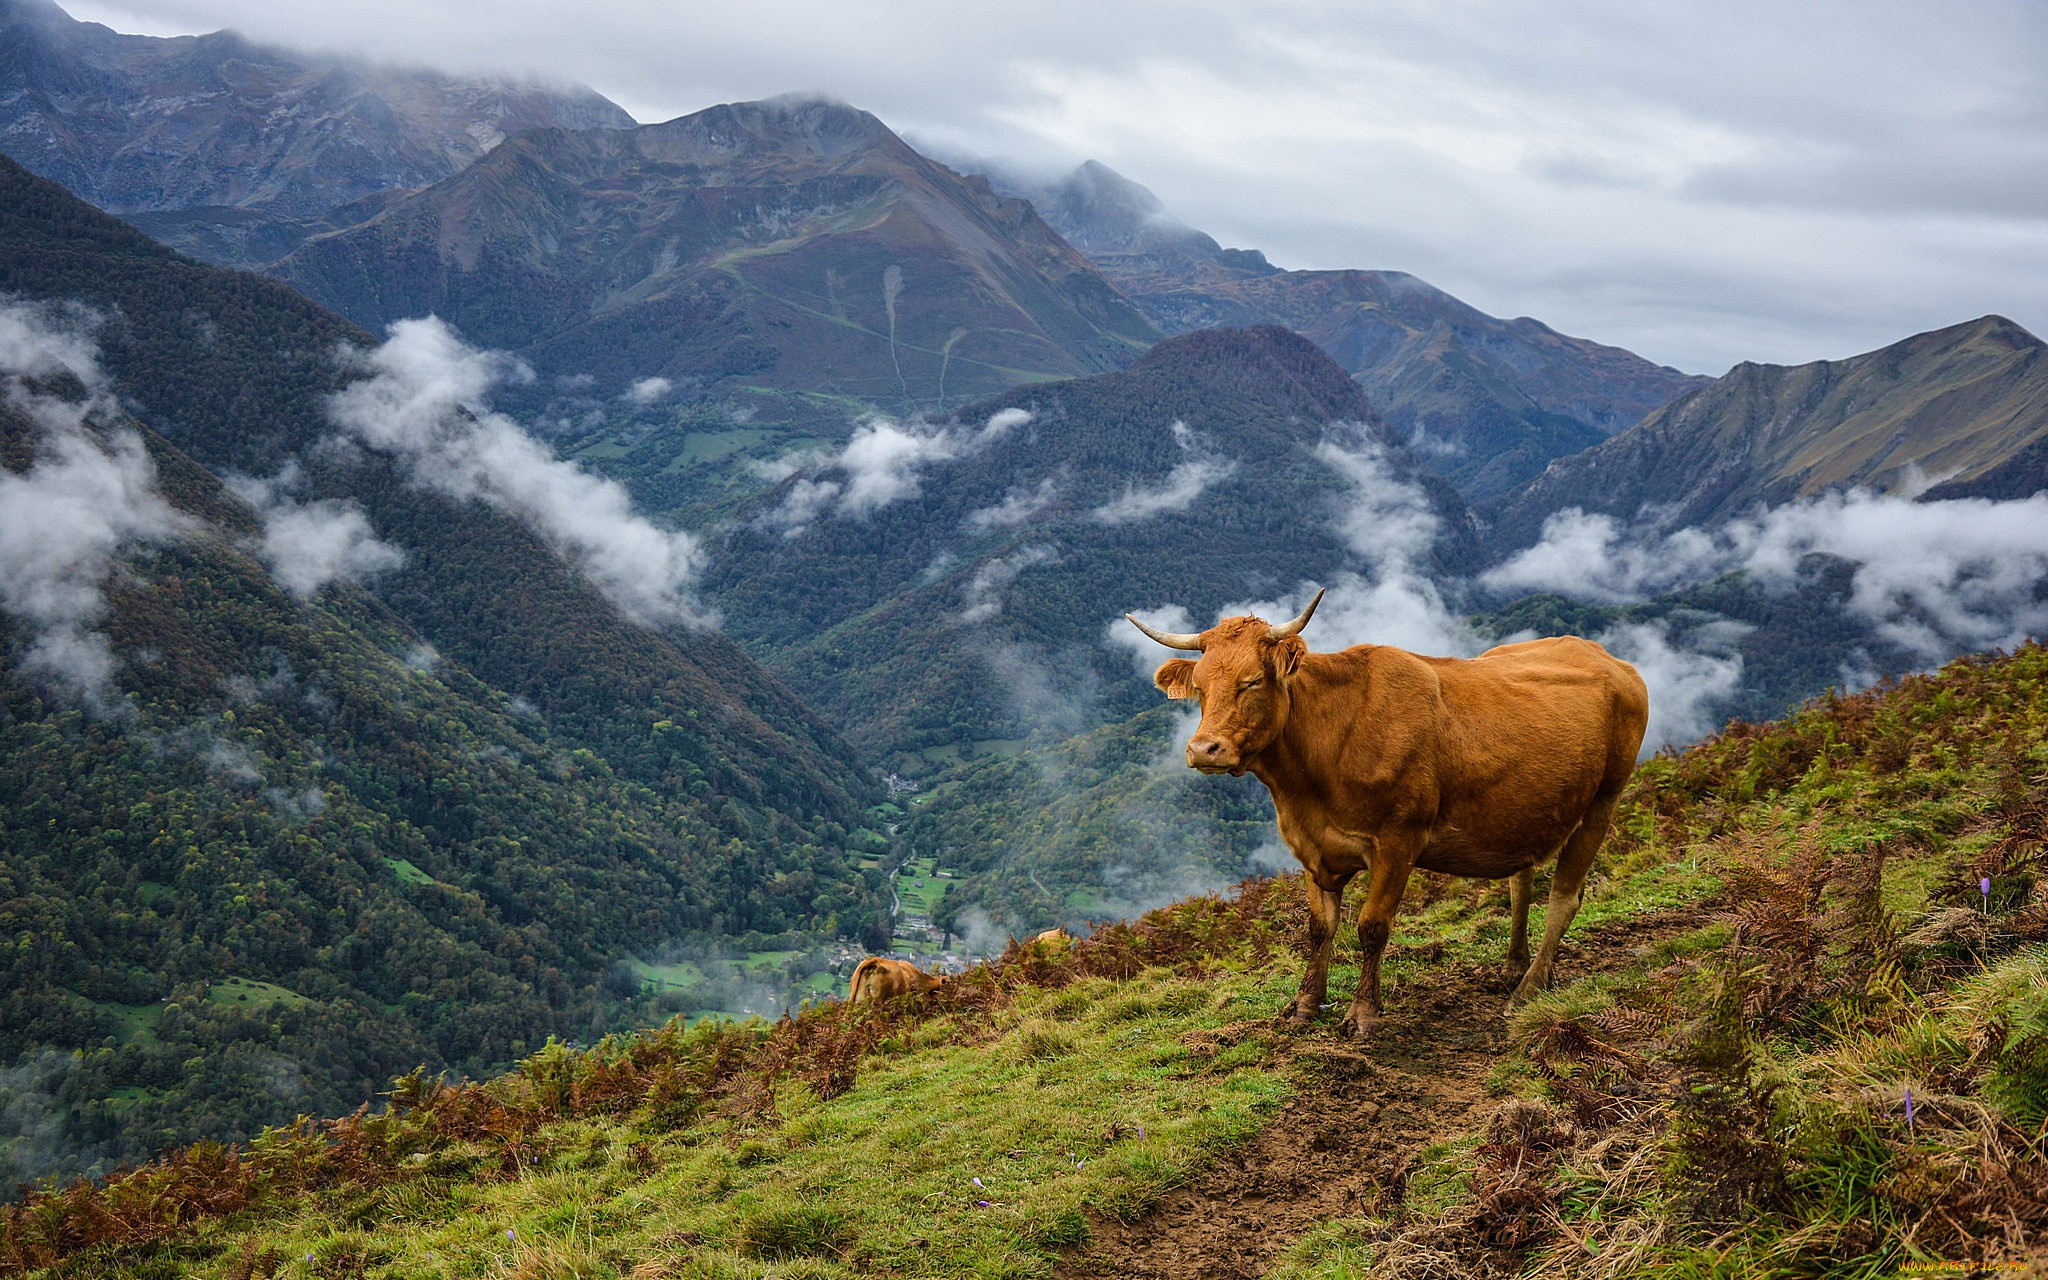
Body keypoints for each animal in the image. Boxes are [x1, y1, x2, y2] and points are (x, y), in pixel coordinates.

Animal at [1130, 589, 1654, 1040]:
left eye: (1252, 681)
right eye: (1200, 687)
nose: (1204, 749)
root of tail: (1606, 656)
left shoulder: (1399, 840)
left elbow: (1372, 927)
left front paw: (1363, 1013)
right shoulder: (1311, 847)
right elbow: (1319, 928)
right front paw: (1305, 1005)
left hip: (1604, 799)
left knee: (1565, 897)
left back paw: (1528, 989)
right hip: (1526, 813)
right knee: (1521, 883)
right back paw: (1512, 966)